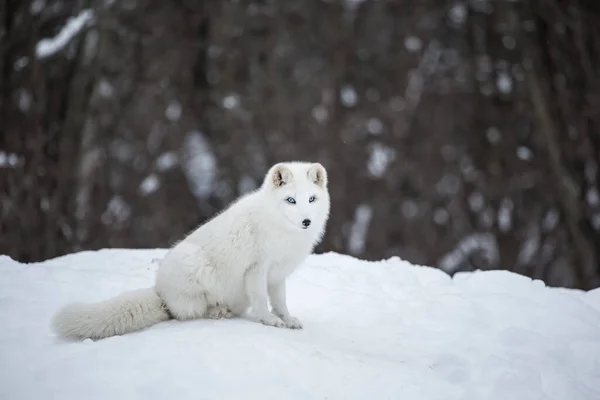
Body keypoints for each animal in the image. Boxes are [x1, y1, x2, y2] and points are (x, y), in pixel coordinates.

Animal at [50, 161, 332, 340]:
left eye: (311, 199)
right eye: (290, 200)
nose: (306, 221)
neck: (283, 231)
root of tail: (160, 292)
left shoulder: (277, 274)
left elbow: (281, 301)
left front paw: (288, 319)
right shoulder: (256, 269)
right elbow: (262, 301)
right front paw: (270, 321)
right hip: (196, 267)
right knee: (188, 313)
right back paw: (217, 311)